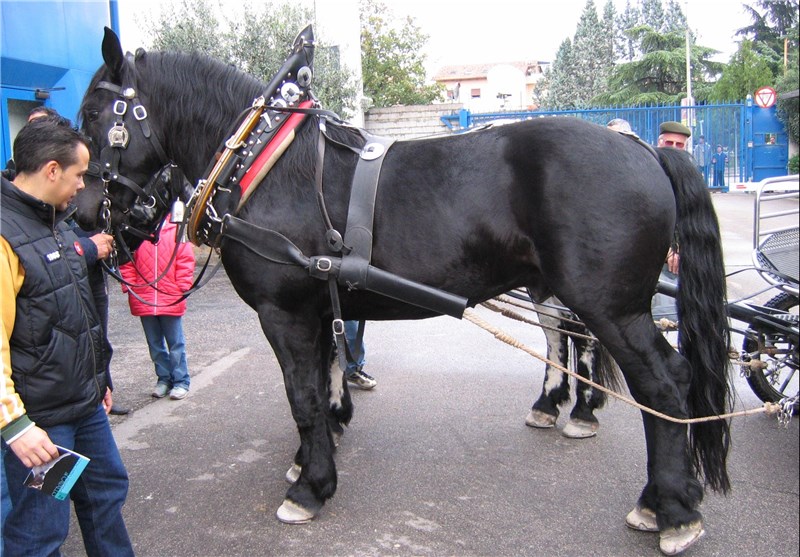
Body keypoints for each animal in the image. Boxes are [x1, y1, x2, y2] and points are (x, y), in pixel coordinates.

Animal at [75, 27, 731, 555]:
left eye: (95, 115)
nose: (84, 215)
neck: (264, 163)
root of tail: (644, 149)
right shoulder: (319, 306)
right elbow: (325, 379)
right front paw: (314, 454)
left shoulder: (283, 312)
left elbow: (302, 396)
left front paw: (311, 487)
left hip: (612, 308)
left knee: (663, 384)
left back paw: (671, 507)